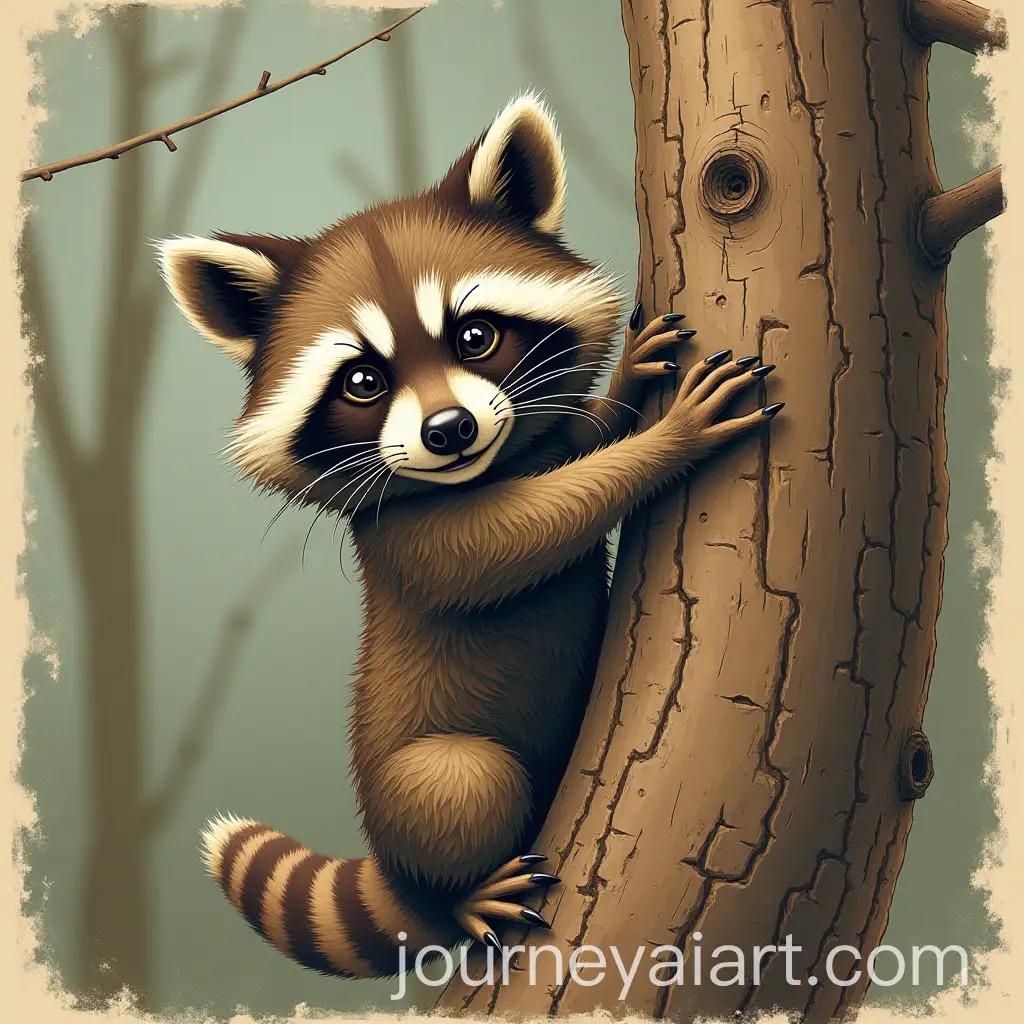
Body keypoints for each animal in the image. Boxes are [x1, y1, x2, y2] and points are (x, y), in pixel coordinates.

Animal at [156, 93, 782, 980]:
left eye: (475, 337)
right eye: (363, 381)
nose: (449, 430)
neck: (481, 469)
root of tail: (391, 870)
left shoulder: (530, 440)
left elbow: (577, 441)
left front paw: (628, 386)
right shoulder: (405, 537)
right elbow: (516, 540)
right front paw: (668, 440)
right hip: (425, 785)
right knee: (461, 782)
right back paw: (462, 894)